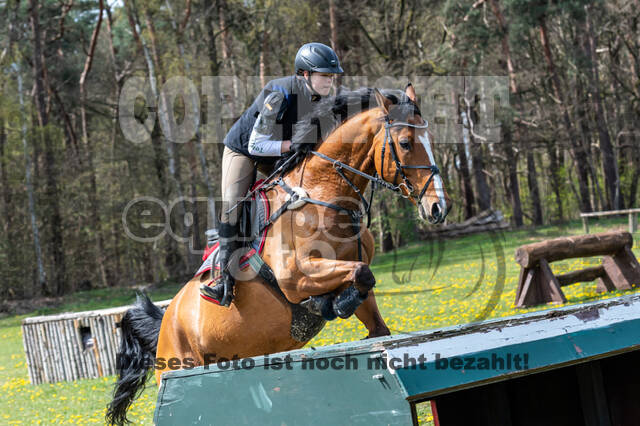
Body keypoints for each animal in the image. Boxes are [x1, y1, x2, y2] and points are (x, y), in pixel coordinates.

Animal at [107, 85, 452, 424]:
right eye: (405, 143)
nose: (438, 208)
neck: (324, 193)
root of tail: (167, 319)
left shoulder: (350, 270)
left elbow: (369, 298)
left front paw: (341, 302)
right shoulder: (295, 278)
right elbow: (358, 274)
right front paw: (332, 303)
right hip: (180, 365)